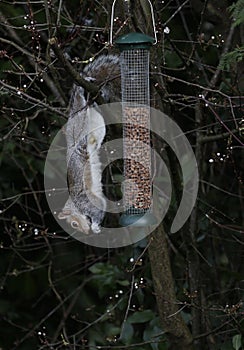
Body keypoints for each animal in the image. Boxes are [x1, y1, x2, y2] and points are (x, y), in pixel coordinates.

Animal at [58, 55, 121, 235]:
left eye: (73, 224)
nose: (86, 233)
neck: (75, 205)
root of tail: (73, 115)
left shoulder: (88, 201)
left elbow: (98, 210)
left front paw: (95, 226)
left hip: (81, 126)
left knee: (80, 99)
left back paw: (83, 85)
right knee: (90, 106)